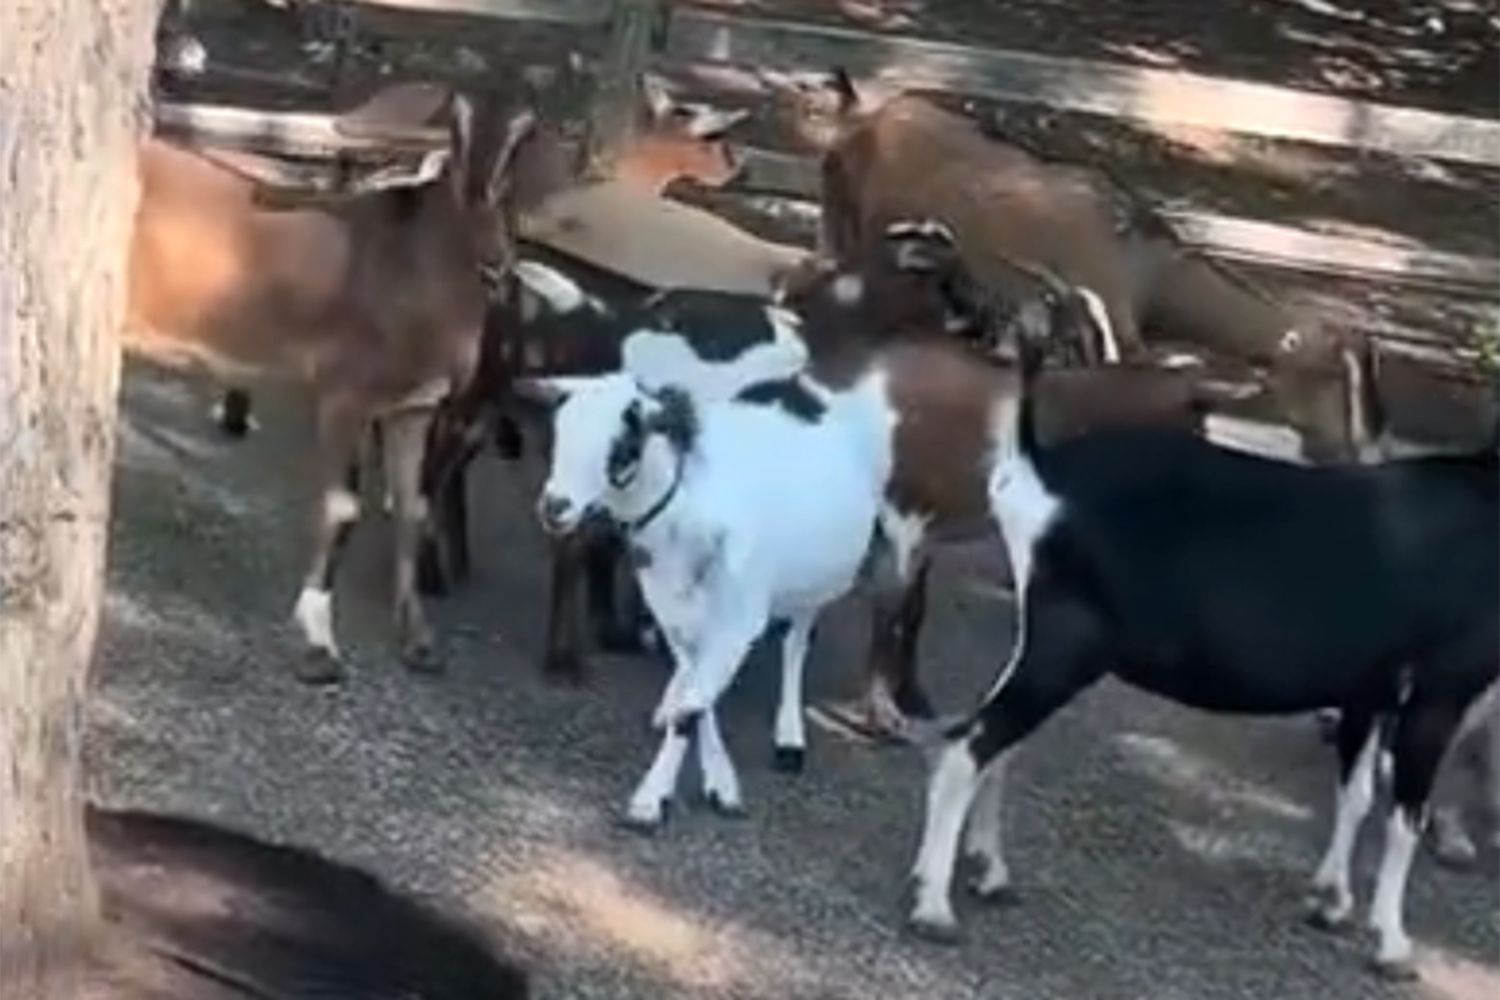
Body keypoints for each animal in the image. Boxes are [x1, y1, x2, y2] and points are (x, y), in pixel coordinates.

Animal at [127, 83, 540, 680]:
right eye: (455, 148)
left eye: (519, 154)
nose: (495, 263)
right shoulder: (344, 394)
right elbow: (340, 508)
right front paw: (317, 642)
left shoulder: (414, 408)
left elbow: (413, 509)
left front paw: (418, 638)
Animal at [537, 371, 888, 827]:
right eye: (560, 430)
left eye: (623, 445)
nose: (554, 507)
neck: (690, 508)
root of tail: (795, 383)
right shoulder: (673, 613)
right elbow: (695, 696)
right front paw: (715, 778)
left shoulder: (737, 622)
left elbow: (694, 709)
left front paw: (653, 800)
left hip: (813, 588)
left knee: (796, 644)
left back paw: (789, 739)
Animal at [894, 338, 1494, 977]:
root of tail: (1035, 468)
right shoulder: (1442, 688)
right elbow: (1406, 817)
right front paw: (1392, 944)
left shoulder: (1369, 689)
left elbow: (1355, 796)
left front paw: (1331, 901)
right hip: (1068, 646)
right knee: (970, 745)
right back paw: (933, 907)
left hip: (1045, 642)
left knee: (994, 741)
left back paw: (989, 872)